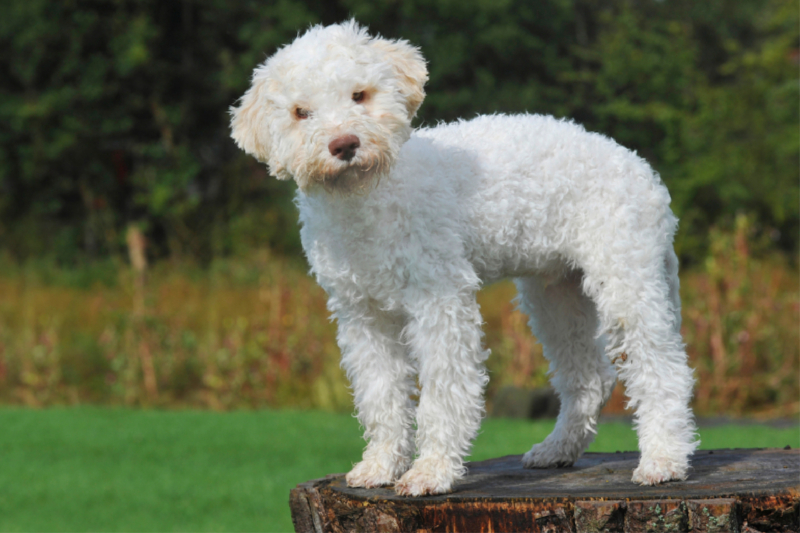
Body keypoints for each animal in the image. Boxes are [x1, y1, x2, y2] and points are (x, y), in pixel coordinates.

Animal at [228, 19, 696, 494]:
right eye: (300, 113)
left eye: (360, 95)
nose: (344, 145)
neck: (367, 199)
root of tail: (643, 171)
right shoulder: (363, 315)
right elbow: (381, 394)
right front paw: (379, 466)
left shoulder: (440, 299)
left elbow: (443, 391)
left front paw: (430, 471)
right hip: (555, 294)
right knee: (590, 377)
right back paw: (556, 450)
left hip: (626, 279)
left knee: (663, 368)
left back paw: (663, 460)